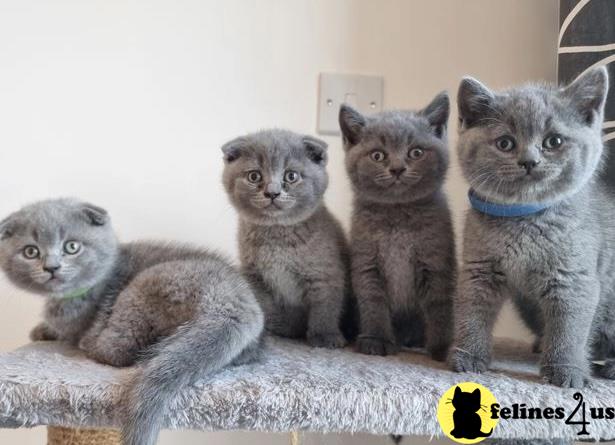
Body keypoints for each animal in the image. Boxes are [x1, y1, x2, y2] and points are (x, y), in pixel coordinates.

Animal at [0, 199, 262, 444]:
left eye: (72, 247)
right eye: (31, 252)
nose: (52, 267)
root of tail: (232, 305)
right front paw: (41, 330)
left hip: (145, 284)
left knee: (117, 350)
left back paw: (91, 343)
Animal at [224, 128, 352, 346]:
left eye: (291, 176)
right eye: (254, 176)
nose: (272, 193)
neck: (277, 235)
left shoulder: (324, 273)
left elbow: (325, 307)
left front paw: (325, 337)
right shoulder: (255, 276)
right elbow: (268, 307)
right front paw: (281, 327)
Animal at [336, 90, 458, 358]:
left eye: (416, 152)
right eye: (378, 155)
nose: (397, 169)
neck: (398, 215)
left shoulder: (435, 261)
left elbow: (439, 304)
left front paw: (442, 348)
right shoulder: (367, 261)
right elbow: (373, 301)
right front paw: (376, 340)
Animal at [448, 67, 615, 388]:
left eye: (554, 142)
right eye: (505, 143)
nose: (529, 161)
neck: (524, 221)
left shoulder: (574, 279)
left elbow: (569, 329)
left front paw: (566, 370)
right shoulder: (479, 269)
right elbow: (472, 313)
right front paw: (467, 356)